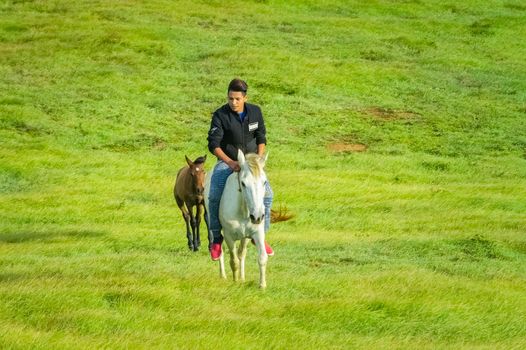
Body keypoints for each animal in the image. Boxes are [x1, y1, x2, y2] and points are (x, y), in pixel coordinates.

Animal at [205, 149, 270, 288]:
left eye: (264, 182)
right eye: (243, 183)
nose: (257, 216)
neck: (244, 211)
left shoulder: (257, 232)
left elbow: (262, 257)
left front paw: (262, 286)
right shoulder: (229, 236)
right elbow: (233, 261)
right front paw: (235, 282)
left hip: (245, 237)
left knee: (242, 253)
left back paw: (242, 277)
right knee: (220, 249)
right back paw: (223, 275)